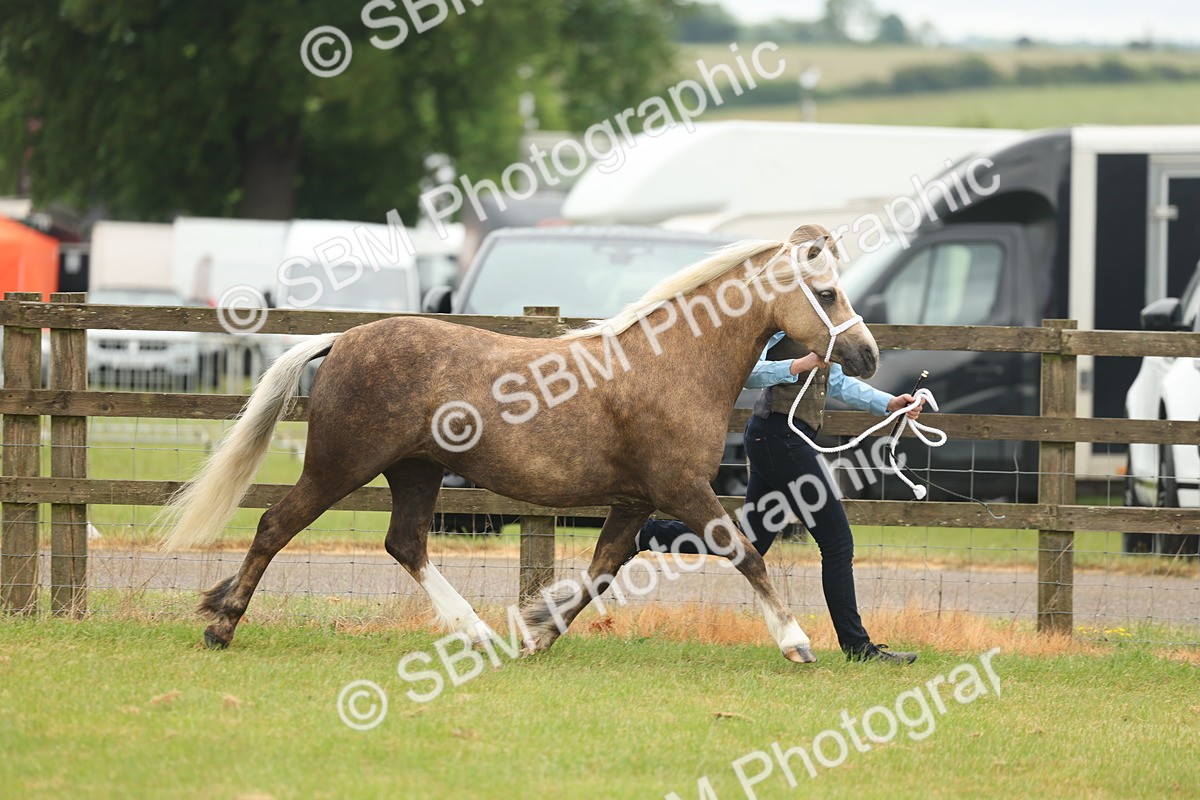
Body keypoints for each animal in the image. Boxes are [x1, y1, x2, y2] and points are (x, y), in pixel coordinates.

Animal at [159, 223, 879, 663]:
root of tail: (343, 340)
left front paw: (534, 633)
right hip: (341, 465)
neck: (671, 362)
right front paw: (796, 641)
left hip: (416, 471)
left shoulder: (634, 500)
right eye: (826, 293)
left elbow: (601, 570)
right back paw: (221, 625)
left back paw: (476, 632)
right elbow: (744, 556)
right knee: (275, 524)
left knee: (405, 544)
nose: (868, 355)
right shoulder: (681, 489)